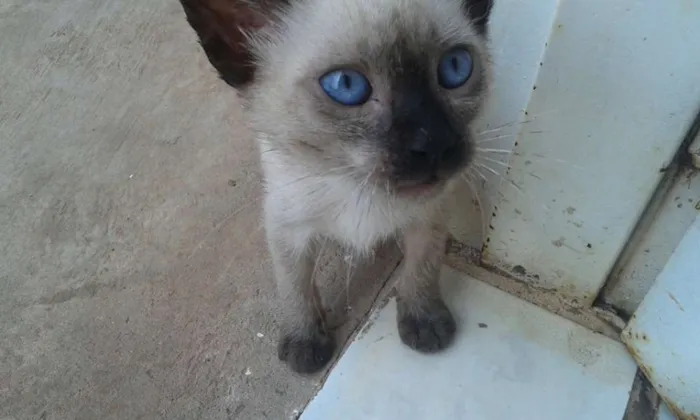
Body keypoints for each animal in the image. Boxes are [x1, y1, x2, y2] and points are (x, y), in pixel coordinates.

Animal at [180, 0, 492, 374]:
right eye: (346, 86)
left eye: (455, 67)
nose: (434, 144)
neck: (357, 189)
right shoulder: (286, 228)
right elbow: (294, 287)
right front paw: (304, 340)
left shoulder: (429, 216)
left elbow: (422, 269)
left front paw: (424, 321)